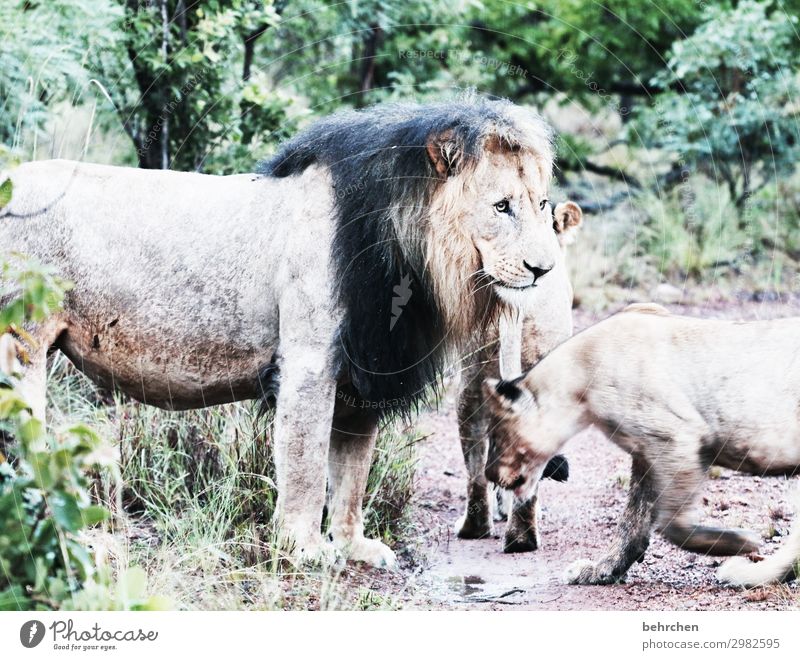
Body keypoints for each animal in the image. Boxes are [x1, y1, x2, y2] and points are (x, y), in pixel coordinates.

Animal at [1, 96, 576, 568]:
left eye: (541, 204)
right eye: (501, 206)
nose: (544, 269)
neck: (407, 250)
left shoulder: (362, 375)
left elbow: (351, 474)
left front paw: (353, 546)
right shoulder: (309, 364)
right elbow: (305, 465)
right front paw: (303, 549)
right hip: (20, 345)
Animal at [482, 304, 800, 588]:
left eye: (495, 438)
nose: (488, 474)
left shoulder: (676, 436)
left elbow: (671, 523)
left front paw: (738, 542)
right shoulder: (646, 453)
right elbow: (632, 523)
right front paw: (600, 571)